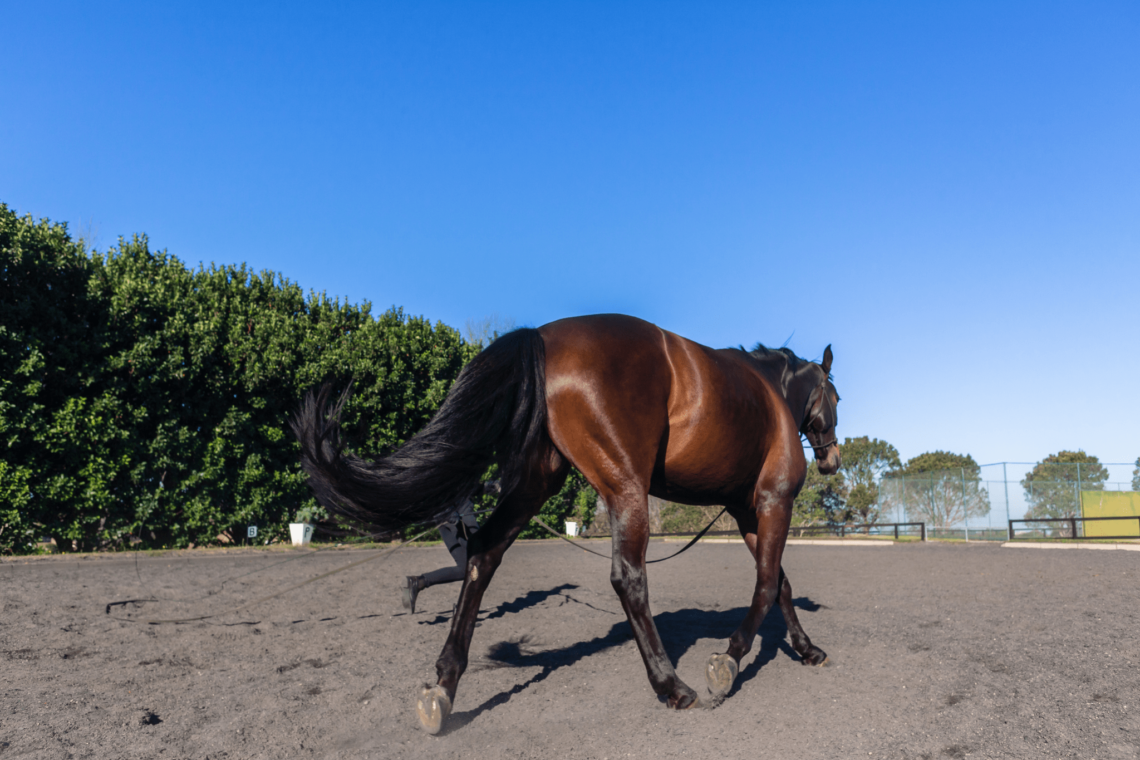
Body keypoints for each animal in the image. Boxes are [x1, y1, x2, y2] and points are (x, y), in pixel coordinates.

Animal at [293, 313, 841, 734]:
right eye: (834, 396)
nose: (832, 459)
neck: (769, 395)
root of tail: (544, 336)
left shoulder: (748, 511)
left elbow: (781, 584)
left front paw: (807, 648)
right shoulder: (772, 502)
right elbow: (768, 584)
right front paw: (728, 659)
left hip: (536, 482)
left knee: (483, 554)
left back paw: (444, 686)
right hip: (626, 491)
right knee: (628, 579)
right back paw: (671, 684)